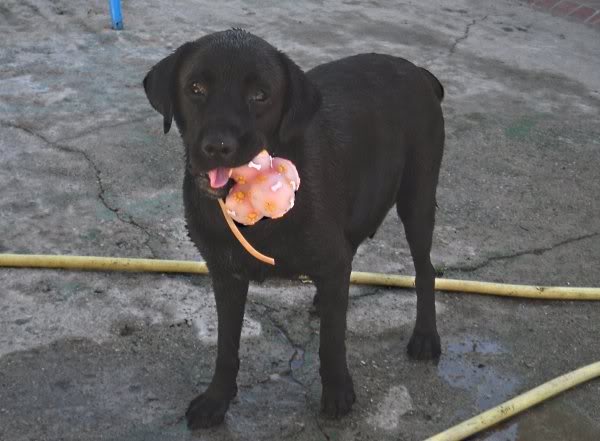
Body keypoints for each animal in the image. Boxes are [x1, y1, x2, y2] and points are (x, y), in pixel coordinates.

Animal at [144, 29, 446, 428]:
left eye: (260, 95)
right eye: (196, 88)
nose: (218, 147)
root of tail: (419, 72)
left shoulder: (330, 260)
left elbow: (332, 341)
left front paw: (337, 390)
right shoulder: (225, 275)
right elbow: (226, 347)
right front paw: (217, 399)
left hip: (417, 199)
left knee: (425, 271)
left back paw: (425, 336)